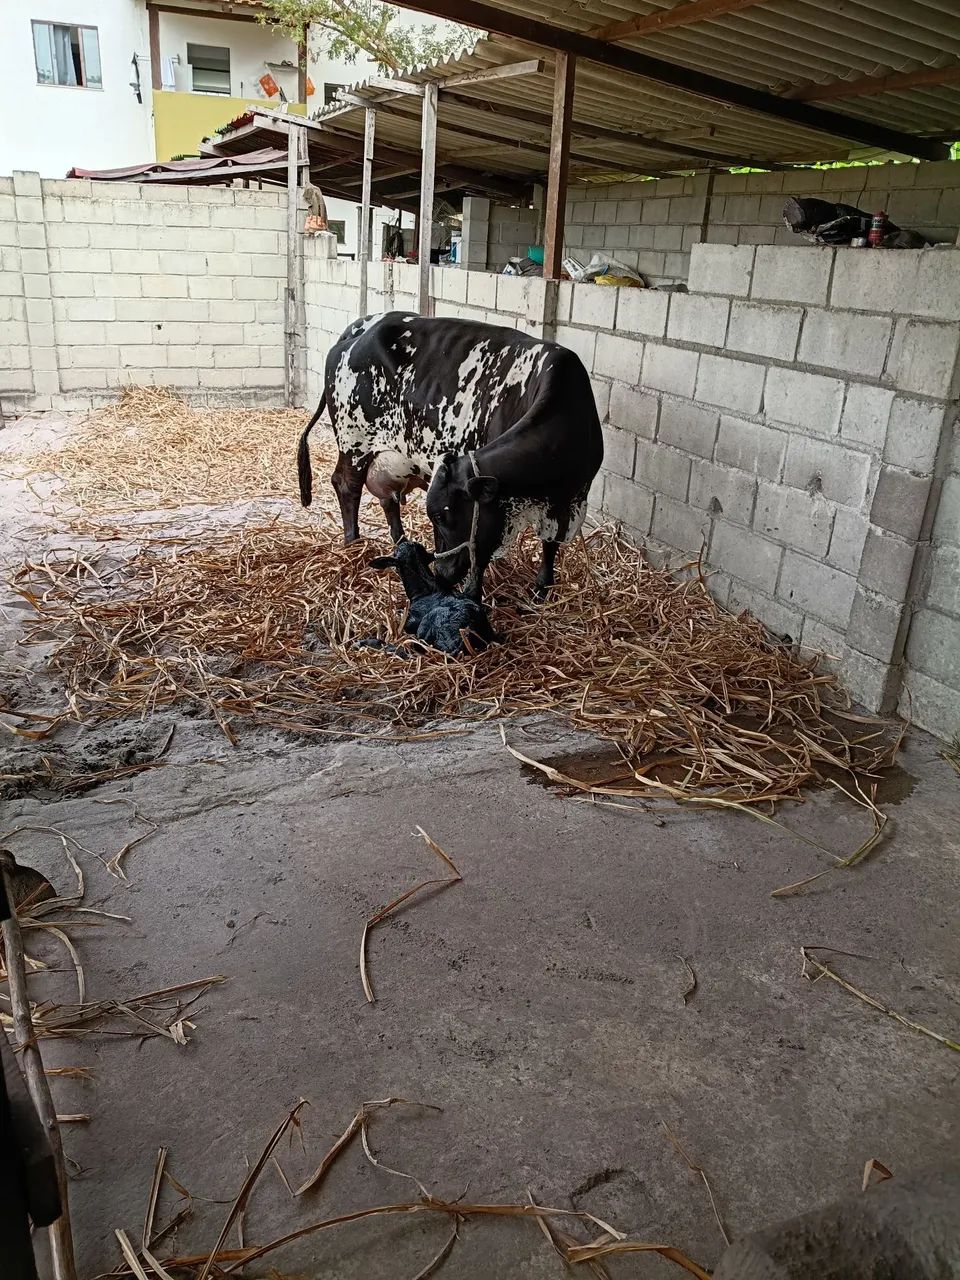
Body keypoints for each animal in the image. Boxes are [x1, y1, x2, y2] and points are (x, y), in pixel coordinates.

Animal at [296, 312, 603, 601]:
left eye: (442, 517)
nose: (442, 574)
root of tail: (362, 327)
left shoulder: (572, 500)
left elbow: (550, 544)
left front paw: (542, 590)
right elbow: (481, 557)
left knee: (387, 499)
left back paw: (398, 542)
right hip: (354, 440)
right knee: (346, 485)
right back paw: (353, 544)